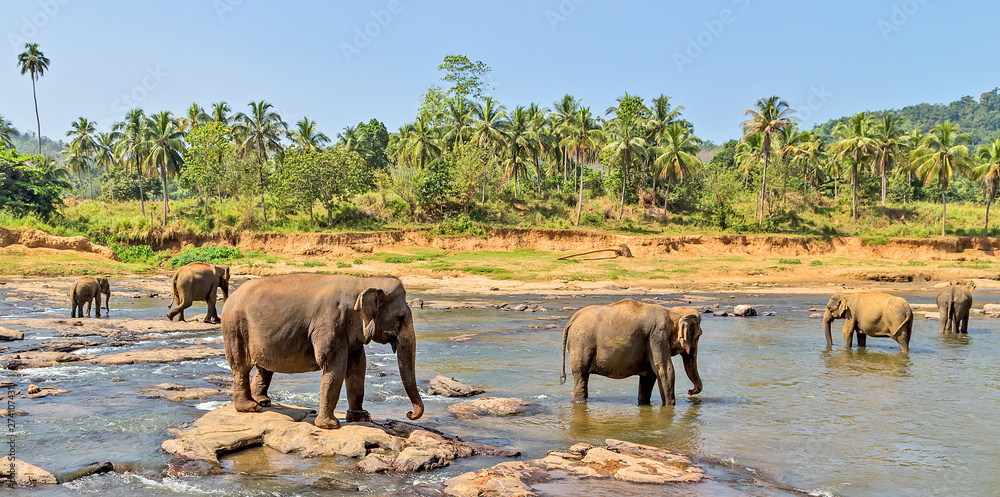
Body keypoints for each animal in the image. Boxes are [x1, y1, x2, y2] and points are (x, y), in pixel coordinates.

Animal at [219, 273, 423, 429]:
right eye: (400, 318)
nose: (409, 414)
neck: (363, 282)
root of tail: (230, 297)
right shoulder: (330, 323)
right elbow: (334, 366)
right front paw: (330, 425)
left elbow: (358, 367)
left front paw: (360, 418)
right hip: (234, 326)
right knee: (240, 366)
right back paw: (249, 407)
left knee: (265, 367)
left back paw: (262, 402)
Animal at [560, 299, 703, 406]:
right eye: (698, 335)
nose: (690, 391)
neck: (672, 311)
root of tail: (573, 318)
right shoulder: (657, 335)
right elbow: (665, 370)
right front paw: (669, 407)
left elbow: (650, 374)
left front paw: (644, 404)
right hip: (581, 343)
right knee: (581, 373)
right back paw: (579, 402)